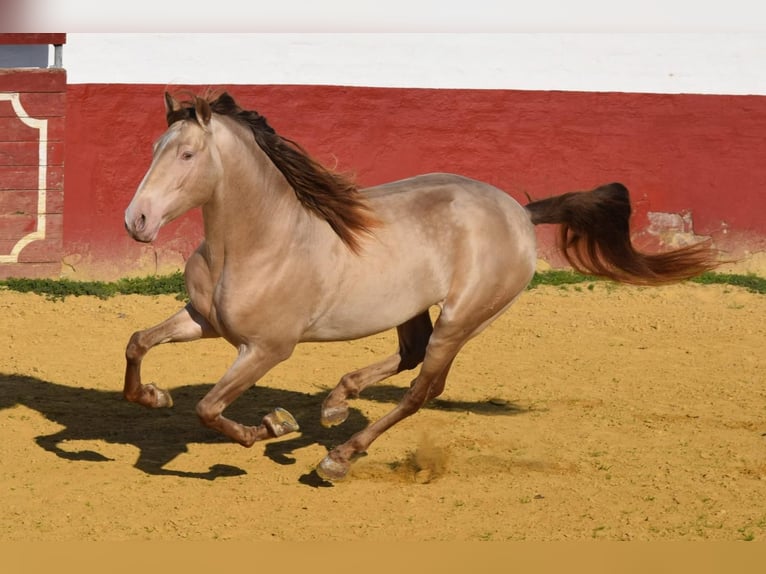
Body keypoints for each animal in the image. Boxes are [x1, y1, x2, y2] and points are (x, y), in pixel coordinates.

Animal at [123, 91, 724, 482]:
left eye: (187, 154)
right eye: (153, 147)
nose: (137, 220)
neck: (259, 243)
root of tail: (519, 213)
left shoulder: (268, 348)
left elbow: (209, 408)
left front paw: (271, 426)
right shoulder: (203, 321)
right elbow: (137, 343)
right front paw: (155, 395)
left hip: (462, 319)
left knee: (422, 389)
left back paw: (338, 456)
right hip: (412, 307)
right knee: (409, 356)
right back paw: (336, 404)